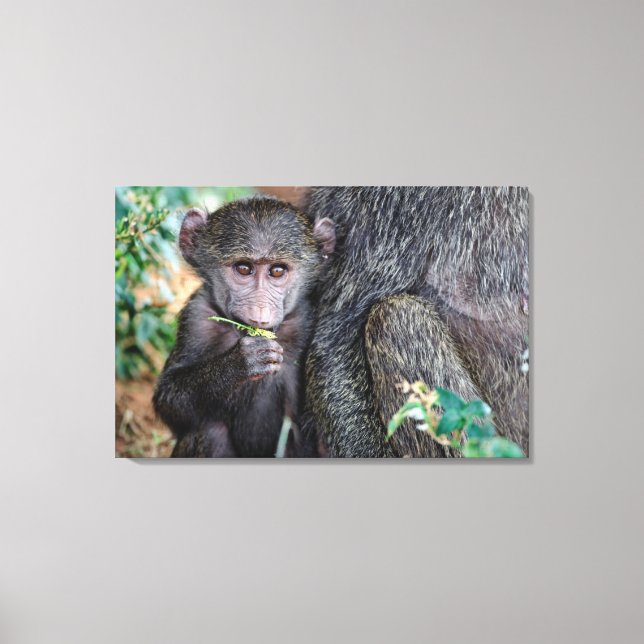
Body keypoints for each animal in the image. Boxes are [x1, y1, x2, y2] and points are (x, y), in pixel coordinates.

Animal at [153, 197, 335, 457]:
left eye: (277, 271)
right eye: (243, 268)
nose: (260, 313)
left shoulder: (305, 321)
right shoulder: (196, 318)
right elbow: (169, 401)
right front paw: (240, 362)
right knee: (210, 431)